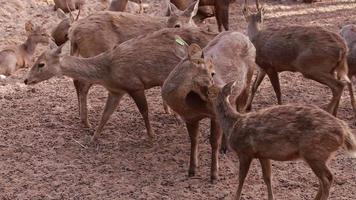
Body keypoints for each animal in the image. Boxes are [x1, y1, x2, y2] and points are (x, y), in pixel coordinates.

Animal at [23, 26, 217, 178]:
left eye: (41, 64)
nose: (26, 80)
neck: (107, 71)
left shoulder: (135, 84)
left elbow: (144, 111)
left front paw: (151, 137)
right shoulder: (116, 91)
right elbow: (105, 115)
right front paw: (93, 138)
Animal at [163, 31, 258, 181]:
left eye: (214, 73)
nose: (219, 89)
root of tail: (243, 35)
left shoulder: (214, 114)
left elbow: (213, 142)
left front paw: (214, 175)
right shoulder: (190, 118)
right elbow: (193, 140)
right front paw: (191, 170)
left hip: (248, 78)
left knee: (241, 109)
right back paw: (225, 147)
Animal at [206, 81, 356, 200]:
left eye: (210, 92)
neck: (233, 125)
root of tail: (344, 132)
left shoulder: (245, 151)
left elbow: (242, 178)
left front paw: (235, 197)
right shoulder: (262, 154)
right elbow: (267, 178)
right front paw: (271, 197)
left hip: (313, 152)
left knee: (327, 179)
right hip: (320, 154)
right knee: (324, 179)